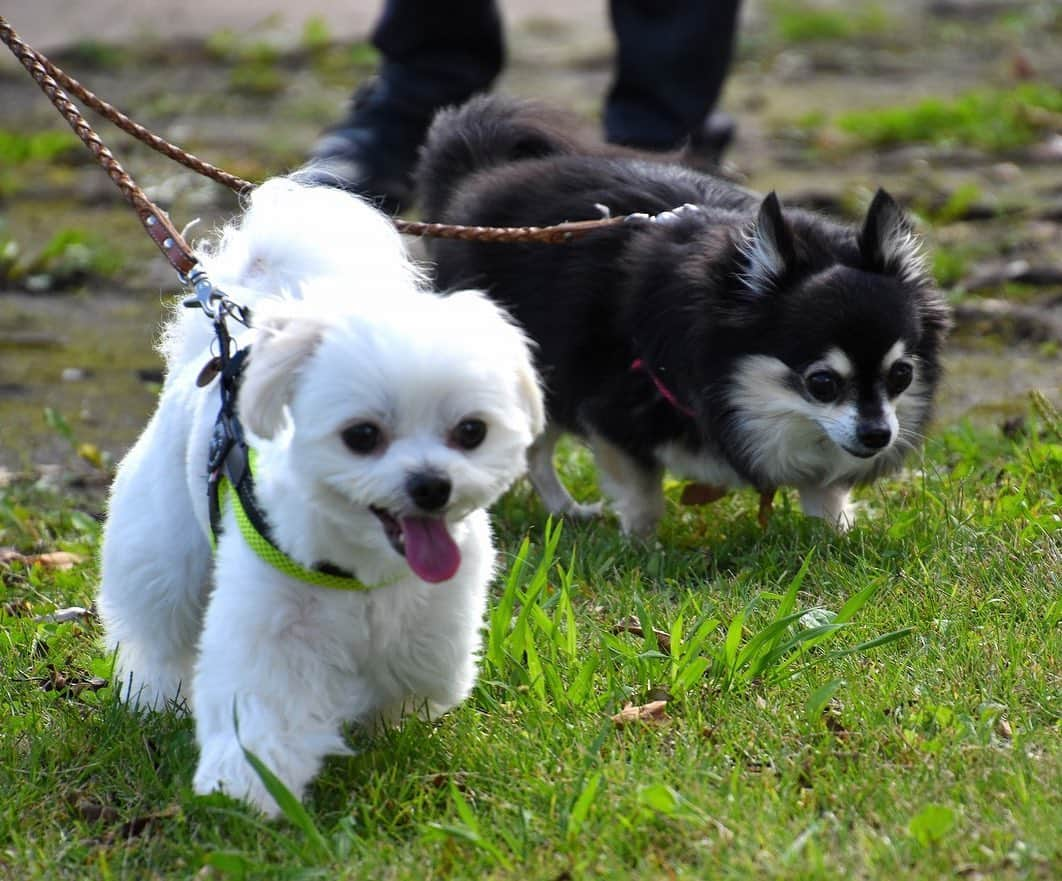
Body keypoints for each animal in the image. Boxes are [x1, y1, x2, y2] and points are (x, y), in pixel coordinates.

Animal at [97, 176, 547, 819]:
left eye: (471, 431)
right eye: (362, 436)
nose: (431, 485)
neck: (365, 566)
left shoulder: (435, 618)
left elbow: (416, 677)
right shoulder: (273, 619)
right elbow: (264, 706)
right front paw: (245, 791)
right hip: (165, 549)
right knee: (160, 627)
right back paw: (156, 696)